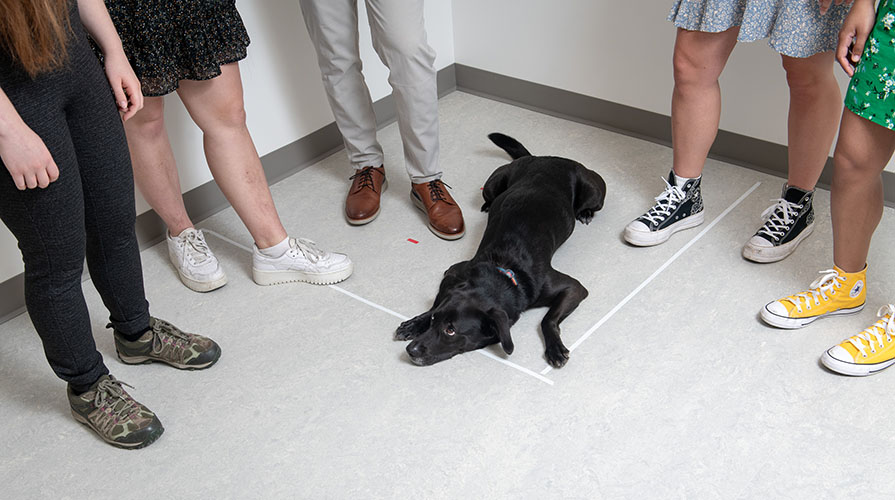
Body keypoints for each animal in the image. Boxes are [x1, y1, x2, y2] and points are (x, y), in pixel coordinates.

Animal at [396, 133, 604, 368]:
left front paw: (555, 348)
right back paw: (488, 205)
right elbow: (435, 303)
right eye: (434, 321)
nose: (410, 350)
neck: (502, 271)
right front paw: (415, 323)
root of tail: (544, 158)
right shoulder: (453, 272)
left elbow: (548, 319)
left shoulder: (574, 288)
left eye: (451, 331)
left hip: (593, 192)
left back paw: (585, 212)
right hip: (492, 183)